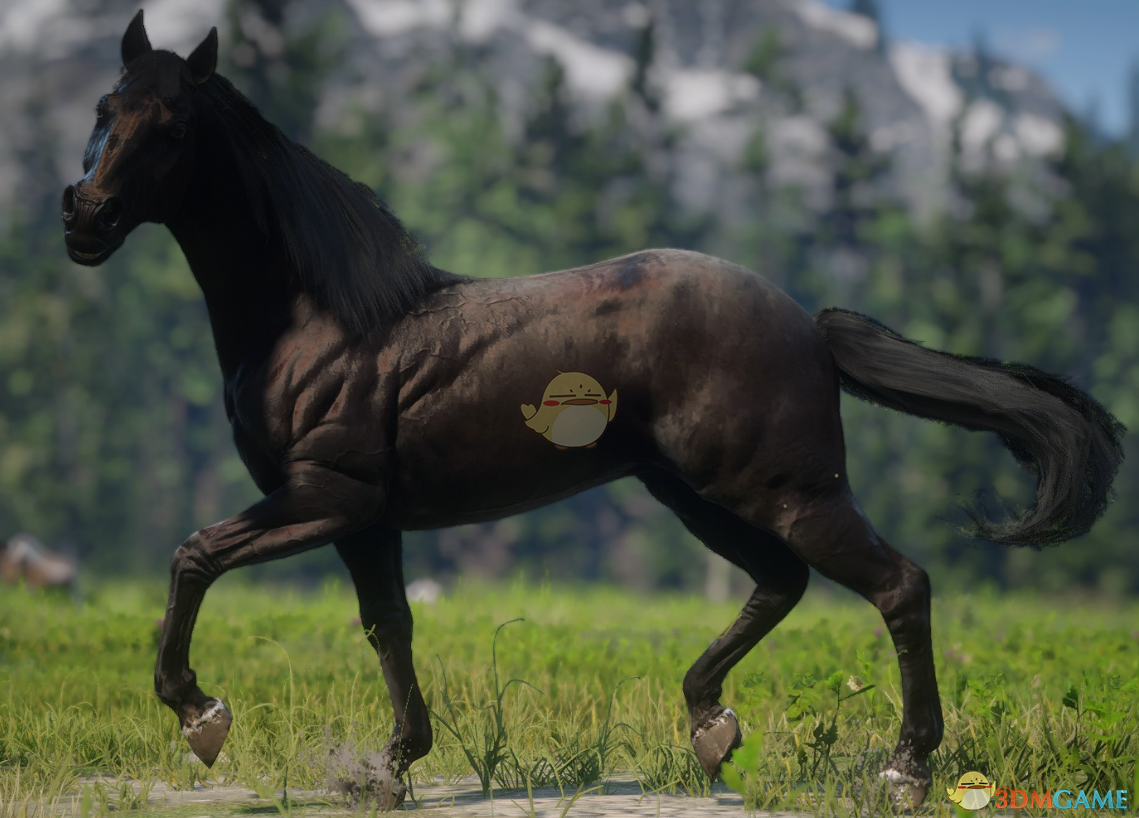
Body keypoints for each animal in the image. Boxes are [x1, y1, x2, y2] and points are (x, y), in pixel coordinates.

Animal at [62, 12, 1124, 810]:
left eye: (172, 127)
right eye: (106, 108)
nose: (84, 218)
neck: (322, 319)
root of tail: (806, 326)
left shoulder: (326, 494)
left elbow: (195, 555)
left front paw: (202, 718)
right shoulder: (365, 517)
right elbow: (388, 628)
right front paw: (391, 766)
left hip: (784, 490)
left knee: (899, 585)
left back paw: (903, 768)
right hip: (692, 492)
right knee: (781, 583)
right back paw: (710, 727)